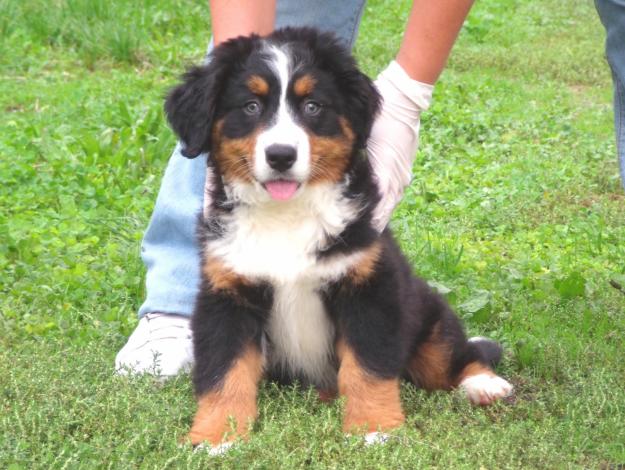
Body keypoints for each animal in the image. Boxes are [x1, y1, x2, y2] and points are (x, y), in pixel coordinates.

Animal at [166, 26, 512, 452]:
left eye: (313, 106)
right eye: (250, 106)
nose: (281, 155)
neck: (286, 215)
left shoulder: (366, 288)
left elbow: (367, 366)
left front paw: (374, 427)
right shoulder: (228, 292)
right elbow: (223, 371)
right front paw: (217, 436)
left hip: (425, 313)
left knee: (454, 356)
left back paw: (484, 384)